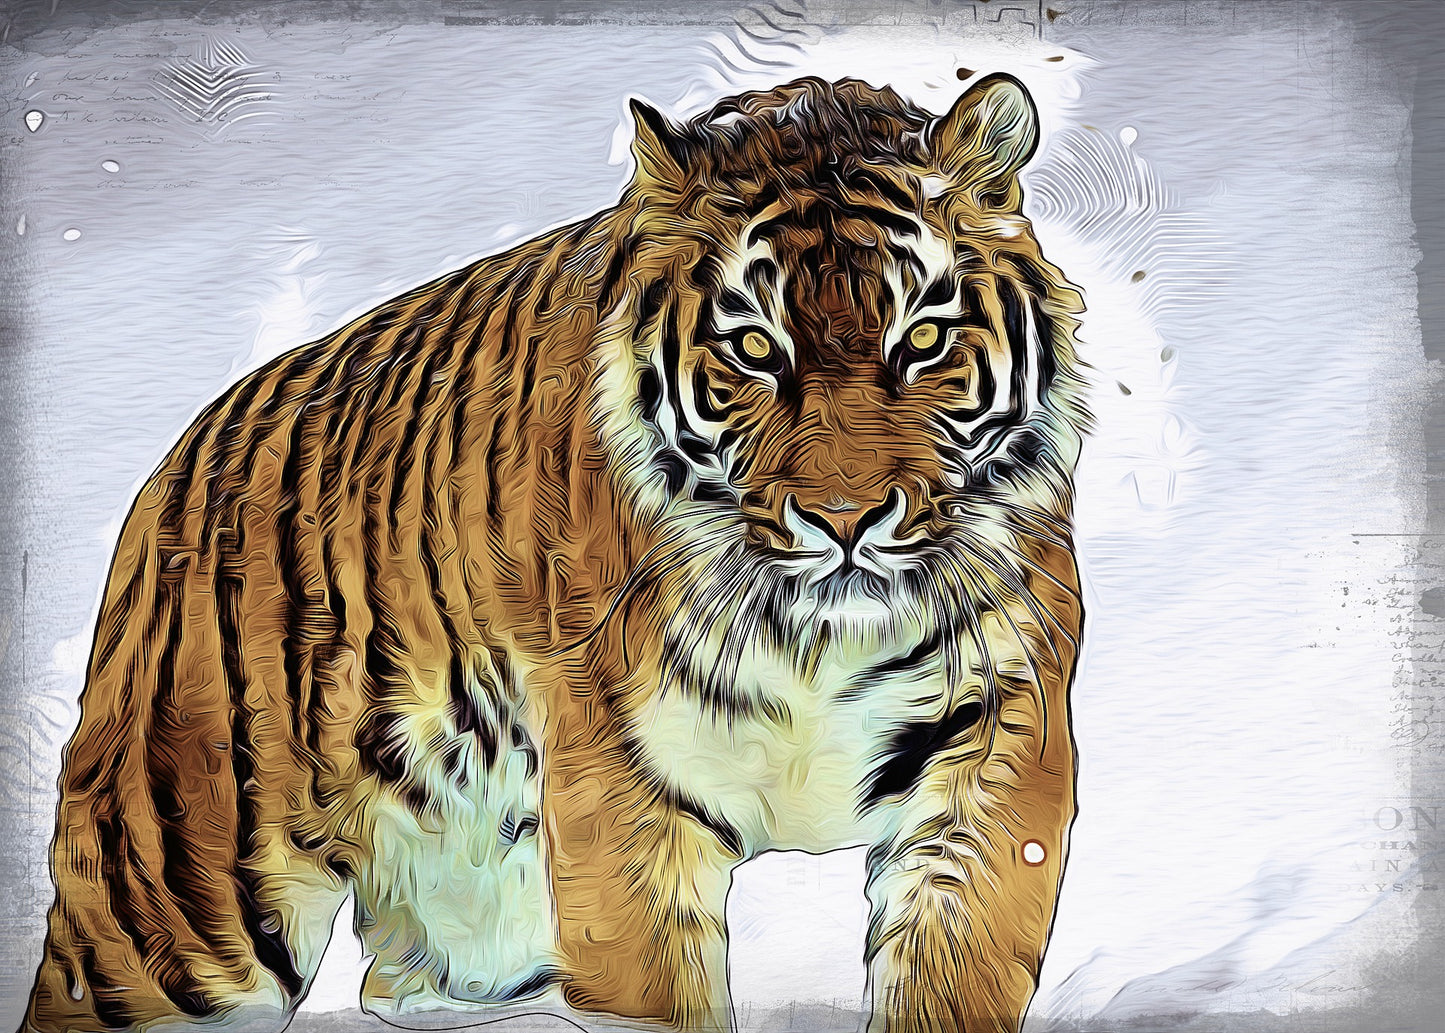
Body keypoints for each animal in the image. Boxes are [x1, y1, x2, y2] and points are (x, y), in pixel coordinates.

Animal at [23, 73, 1088, 1033]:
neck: (820, 639)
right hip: (170, 908)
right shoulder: (621, 795)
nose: (845, 516)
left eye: (924, 338)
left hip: (472, 939)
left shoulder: (996, 745)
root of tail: (182, 455)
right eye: (753, 348)